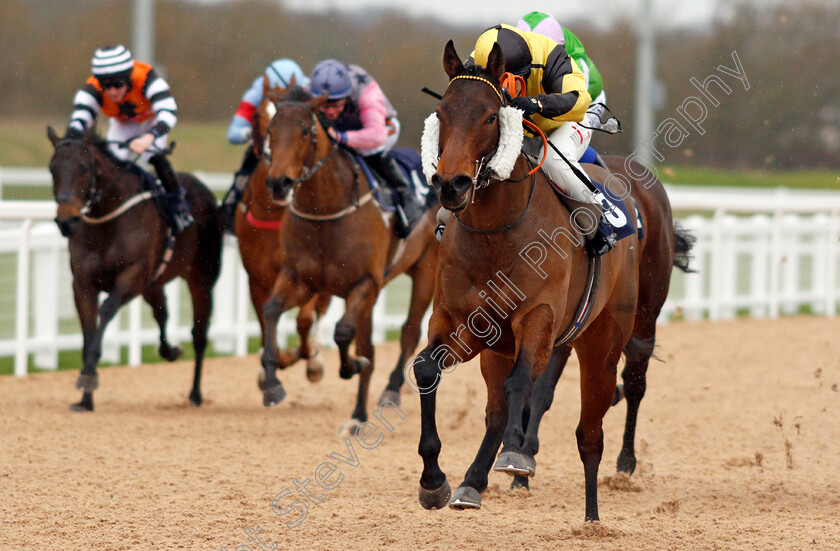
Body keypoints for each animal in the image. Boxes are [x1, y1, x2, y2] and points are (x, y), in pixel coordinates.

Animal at [47, 124, 221, 410]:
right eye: (53, 169)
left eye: (84, 167)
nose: (67, 221)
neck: (107, 219)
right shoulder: (82, 283)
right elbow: (89, 333)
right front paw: (85, 398)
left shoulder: (133, 276)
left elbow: (106, 311)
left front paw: (88, 379)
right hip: (155, 283)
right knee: (162, 313)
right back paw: (170, 351)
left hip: (201, 278)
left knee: (199, 334)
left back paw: (195, 394)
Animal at [260, 86, 436, 434]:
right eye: (271, 131)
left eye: (305, 131)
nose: (278, 183)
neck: (325, 211)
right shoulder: (300, 279)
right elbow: (271, 310)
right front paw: (272, 384)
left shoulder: (365, 282)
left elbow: (342, 333)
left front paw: (350, 366)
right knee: (370, 344)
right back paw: (358, 415)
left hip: (426, 269)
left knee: (409, 333)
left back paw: (390, 391)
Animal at [412, 41, 688, 524]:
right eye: (442, 113)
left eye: (490, 116)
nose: (452, 184)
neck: (496, 233)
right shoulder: (460, 322)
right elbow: (429, 369)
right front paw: (436, 481)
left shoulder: (537, 317)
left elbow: (521, 386)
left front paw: (507, 460)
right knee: (507, 406)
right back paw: (485, 476)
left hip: (631, 322)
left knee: (626, 385)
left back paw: (616, 473)